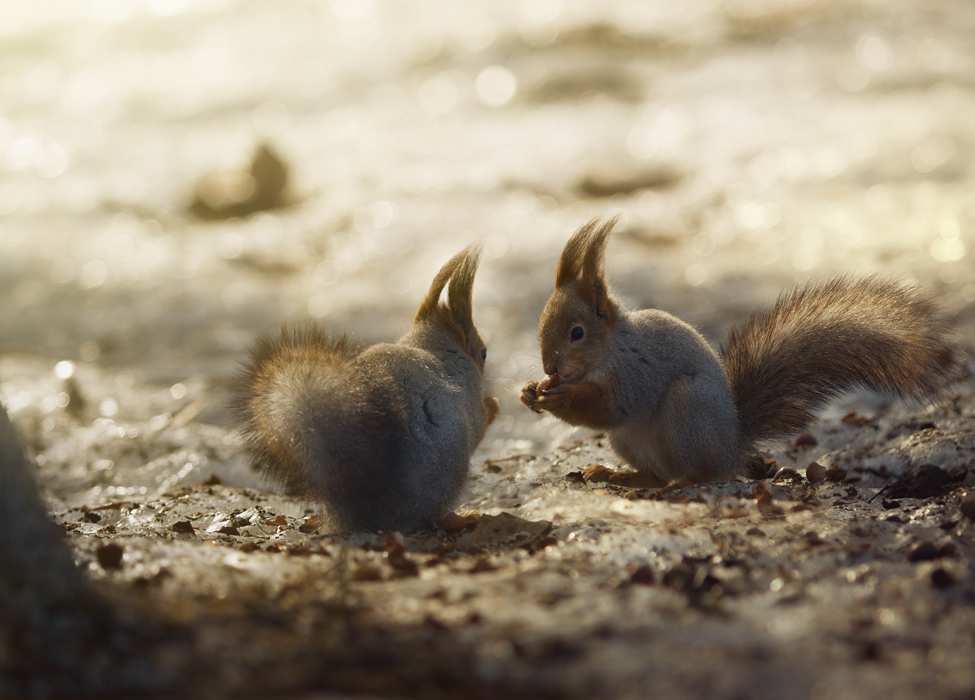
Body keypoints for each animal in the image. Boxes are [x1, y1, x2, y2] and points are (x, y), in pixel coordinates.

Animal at [234, 246, 500, 532]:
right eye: (483, 352)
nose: (484, 361)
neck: (434, 349)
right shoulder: (468, 396)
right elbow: (480, 423)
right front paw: (493, 405)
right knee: (437, 515)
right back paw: (463, 517)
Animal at [524, 217, 956, 486]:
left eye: (577, 333)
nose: (549, 365)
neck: (611, 350)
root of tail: (732, 448)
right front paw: (530, 391)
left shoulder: (638, 371)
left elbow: (614, 406)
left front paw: (557, 397)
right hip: (628, 442)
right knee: (655, 474)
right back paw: (618, 475)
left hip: (687, 412)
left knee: (698, 473)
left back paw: (679, 484)